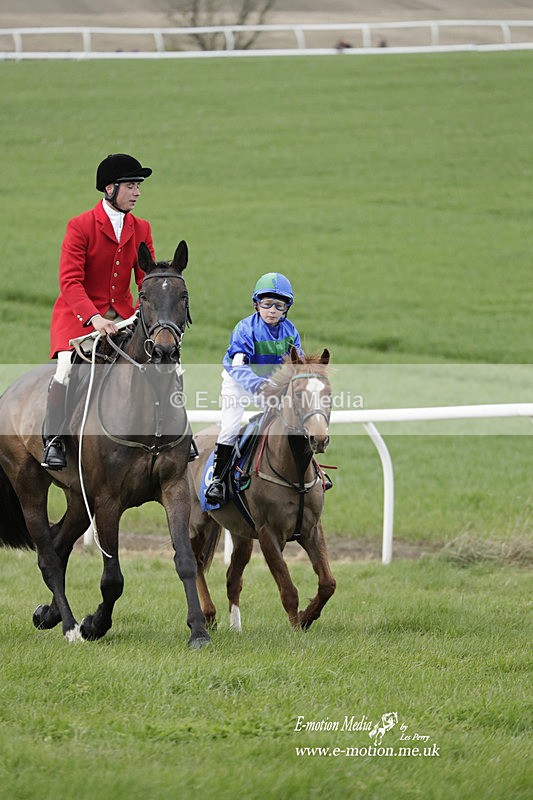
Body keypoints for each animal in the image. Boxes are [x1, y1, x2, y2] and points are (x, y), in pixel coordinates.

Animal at [0, 241, 211, 649]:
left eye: (183, 295)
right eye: (144, 296)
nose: (164, 352)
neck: (150, 404)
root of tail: (11, 391)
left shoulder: (174, 488)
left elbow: (185, 560)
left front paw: (198, 631)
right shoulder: (109, 501)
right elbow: (113, 579)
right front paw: (95, 624)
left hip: (78, 497)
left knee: (59, 542)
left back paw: (48, 614)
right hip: (29, 486)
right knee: (48, 555)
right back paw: (69, 625)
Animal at [188, 348, 336, 632]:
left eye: (329, 393)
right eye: (298, 394)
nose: (319, 439)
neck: (294, 472)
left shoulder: (312, 529)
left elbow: (328, 583)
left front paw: (307, 617)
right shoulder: (269, 533)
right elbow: (288, 589)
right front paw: (296, 628)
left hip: (240, 533)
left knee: (232, 577)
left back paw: (236, 627)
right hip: (196, 521)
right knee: (195, 562)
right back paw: (208, 615)